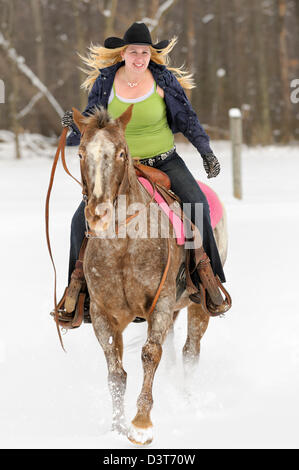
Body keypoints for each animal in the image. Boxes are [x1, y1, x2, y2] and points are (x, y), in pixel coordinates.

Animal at [71, 104, 229, 446]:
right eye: (80, 153)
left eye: (121, 153)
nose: (98, 214)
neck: (124, 246)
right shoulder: (104, 314)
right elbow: (116, 373)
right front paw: (117, 427)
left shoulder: (161, 303)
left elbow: (149, 354)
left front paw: (141, 424)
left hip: (198, 305)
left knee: (189, 351)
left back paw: (186, 399)